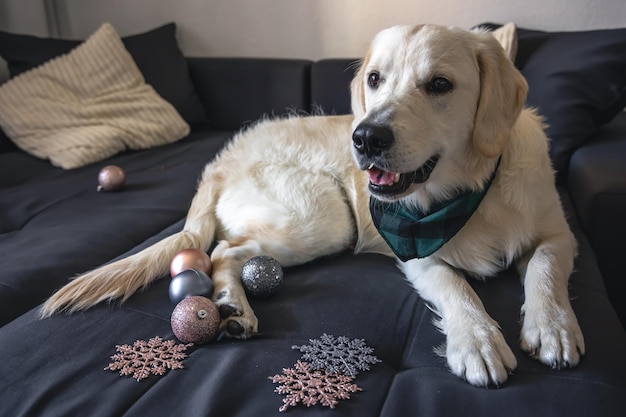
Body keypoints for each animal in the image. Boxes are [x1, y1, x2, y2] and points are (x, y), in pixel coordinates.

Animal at [41, 24, 584, 386]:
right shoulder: (415, 250)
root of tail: (220, 161)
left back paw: (231, 307)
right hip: (326, 219)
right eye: (374, 79)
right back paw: (232, 303)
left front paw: (552, 326)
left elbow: (544, 265)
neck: (467, 192)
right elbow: (454, 284)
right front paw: (478, 339)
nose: (365, 138)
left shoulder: (559, 231)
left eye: (440, 85)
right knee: (220, 251)